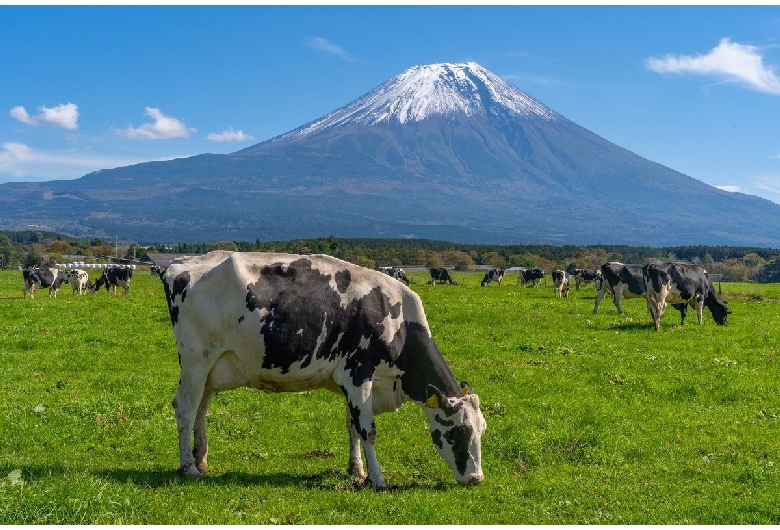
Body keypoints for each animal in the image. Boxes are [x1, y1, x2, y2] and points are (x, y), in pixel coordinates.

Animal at [161, 250, 484, 488]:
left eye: (482, 429)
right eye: (460, 431)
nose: (476, 478)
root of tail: (179, 264)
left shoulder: (354, 383)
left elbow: (352, 426)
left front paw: (356, 470)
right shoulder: (358, 373)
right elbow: (367, 430)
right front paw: (378, 479)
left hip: (211, 369)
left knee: (201, 409)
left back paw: (201, 460)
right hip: (196, 360)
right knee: (185, 408)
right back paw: (188, 467)